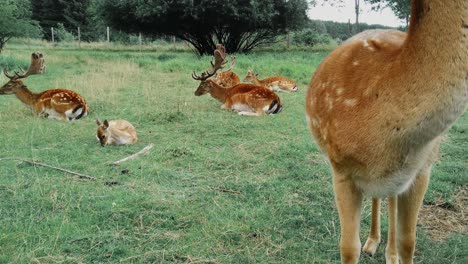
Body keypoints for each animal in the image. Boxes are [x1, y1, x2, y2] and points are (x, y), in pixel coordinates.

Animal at [306, 1, 468, 262]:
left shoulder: (422, 171)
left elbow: (408, 242)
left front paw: (396, 252)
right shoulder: (341, 170)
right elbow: (348, 247)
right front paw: (365, 244)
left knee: (389, 198)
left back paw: (389, 253)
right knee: (378, 195)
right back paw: (372, 241)